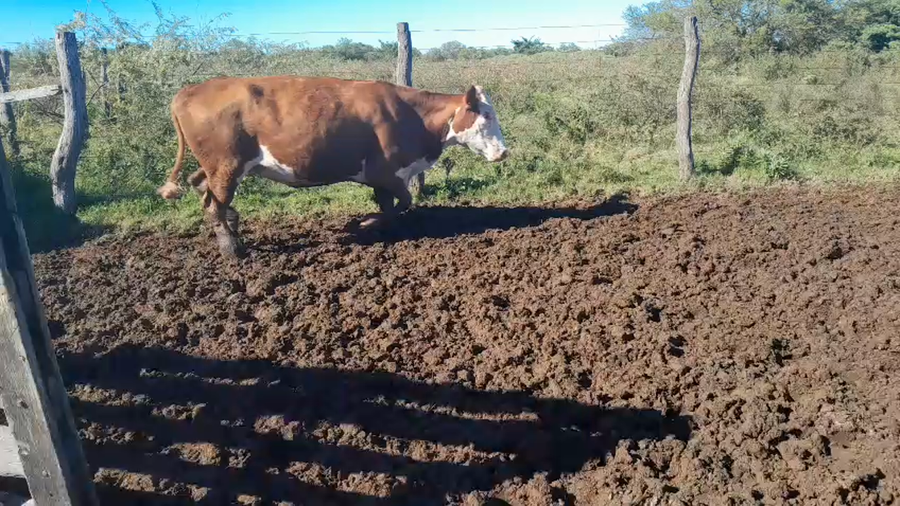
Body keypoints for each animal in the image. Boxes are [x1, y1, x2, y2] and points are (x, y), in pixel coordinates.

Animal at [156, 76, 508, 259]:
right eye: (486, 115)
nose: (503, 152)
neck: (411, 115)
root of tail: (188, 91)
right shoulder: (385, 172)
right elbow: (404, 201)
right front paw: (367, 223)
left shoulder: (384, 178)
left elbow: (394, 206)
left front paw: (382, 227)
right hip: (226, 166)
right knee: (212, 203)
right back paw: (232, 249)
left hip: (216, 167)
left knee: (201, 186)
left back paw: (233, 227)